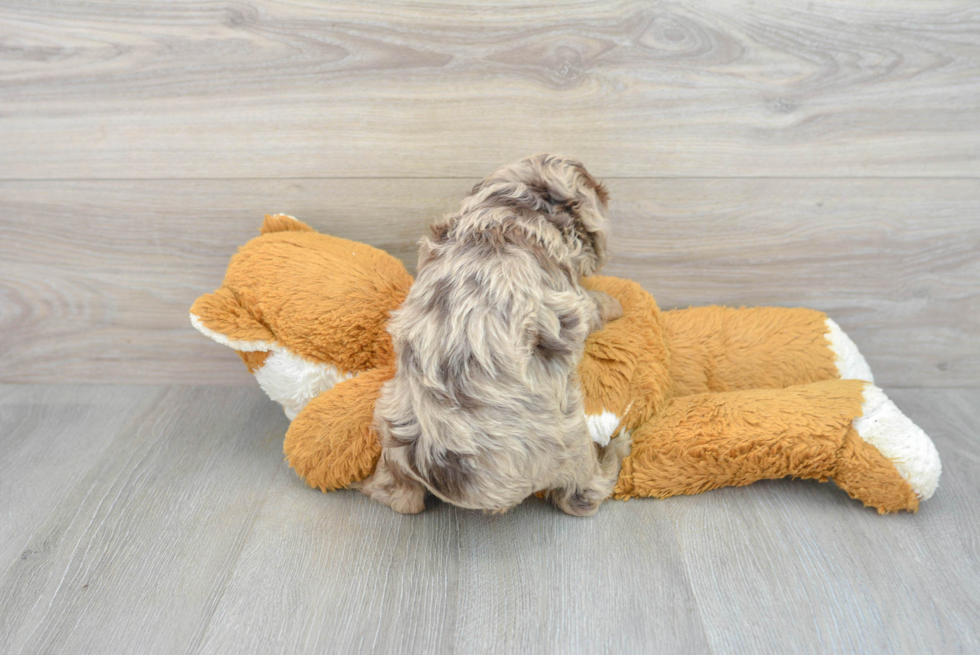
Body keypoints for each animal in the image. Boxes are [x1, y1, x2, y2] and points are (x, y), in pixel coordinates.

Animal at [360, 155, 628, 516]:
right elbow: (596, 303)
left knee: (400, 499)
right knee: (583, 495)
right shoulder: (575, 301)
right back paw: (617, 447)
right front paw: (616, 304)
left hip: (391, 420)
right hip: (572, 438)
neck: (513, 205)